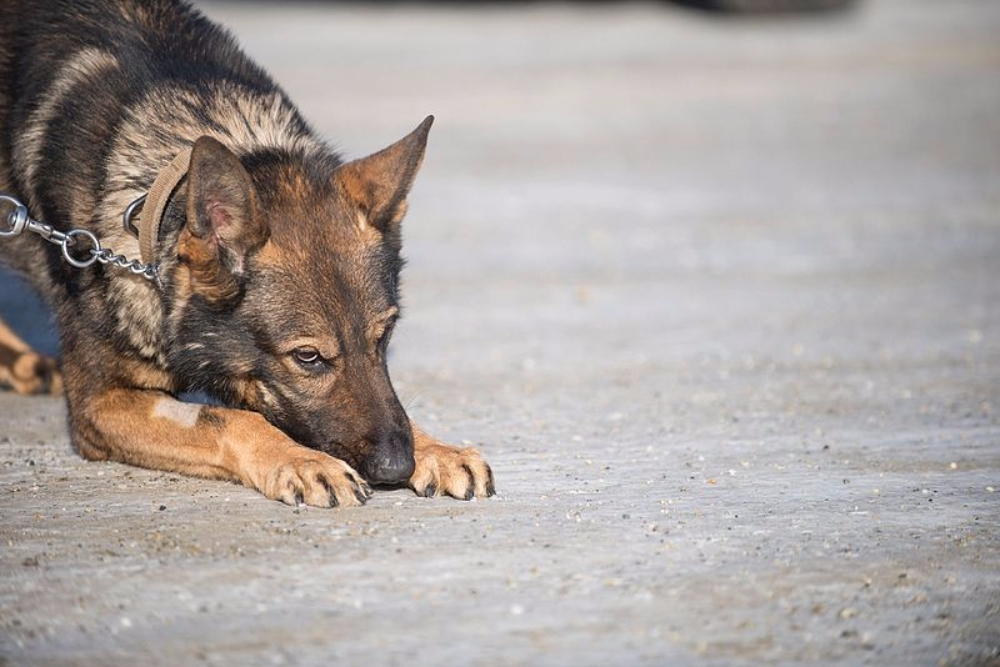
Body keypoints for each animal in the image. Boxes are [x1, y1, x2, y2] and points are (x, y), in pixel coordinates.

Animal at [0, 0, 496, 506]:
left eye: (386, 334)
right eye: (308, 357)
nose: (398, 467)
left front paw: (437, 448)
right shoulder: (101, 403)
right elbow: (228, 418)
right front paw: (305, 461)